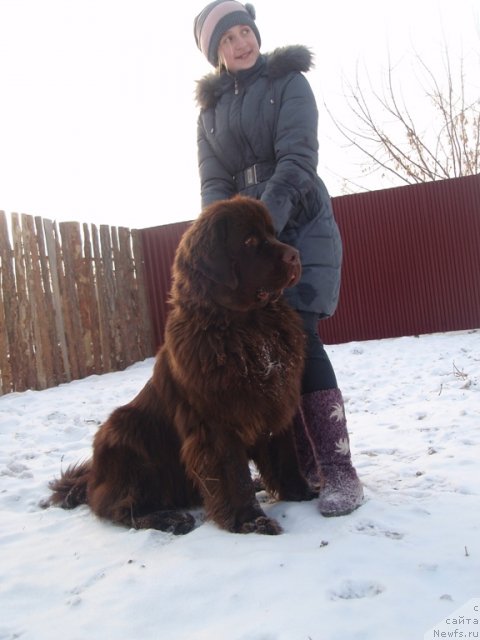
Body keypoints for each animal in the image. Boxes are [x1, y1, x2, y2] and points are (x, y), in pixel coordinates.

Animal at [47, 195, 316, 536]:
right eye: (249, 241)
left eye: (272, 233)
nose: (295, 255)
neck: (248, 329)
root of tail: (92, 479)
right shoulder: (216, 424)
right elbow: (233, 474)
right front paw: (250, 521)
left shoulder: (274, 407)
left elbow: (285, 456)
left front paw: (302, 492)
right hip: (125, 434)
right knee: (119, 508)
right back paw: (171, 519)